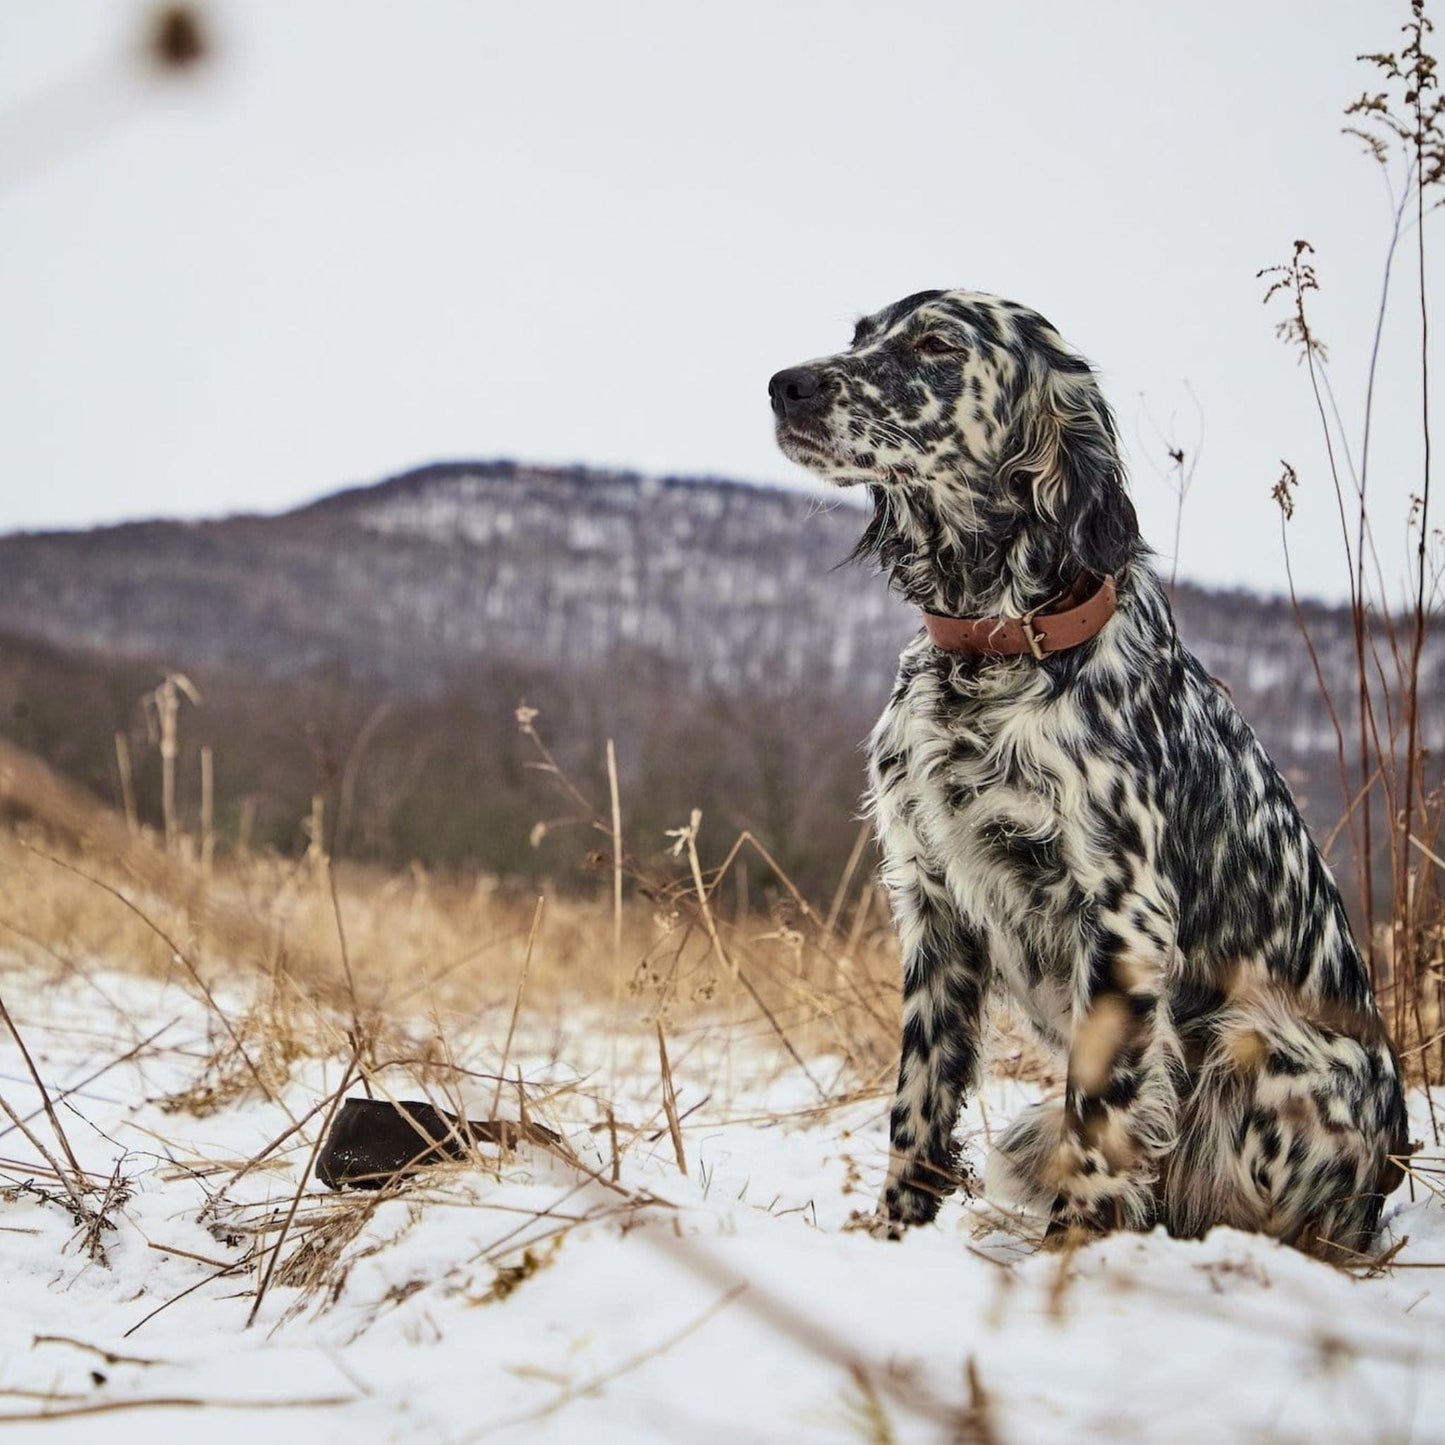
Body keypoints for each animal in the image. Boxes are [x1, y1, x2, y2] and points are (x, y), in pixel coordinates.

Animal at [774, 290, 1404, 1254]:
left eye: (935, 344)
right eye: (859, 335)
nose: (785, 385)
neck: (992, 647)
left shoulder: (1121, 916)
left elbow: (1099, 1118)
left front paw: (1065, 1257)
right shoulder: (933, 904)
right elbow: (916, 1106)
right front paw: (896, 1238)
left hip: (1257, 1040)